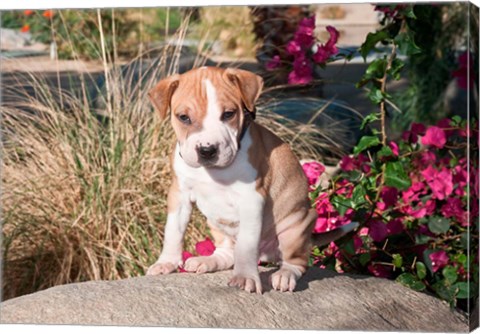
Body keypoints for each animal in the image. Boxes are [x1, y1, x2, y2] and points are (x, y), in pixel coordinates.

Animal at [146, 67, 318, 292]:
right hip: (216, 224)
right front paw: (166, 262)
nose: (207, 150)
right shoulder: (179, 194)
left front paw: (245, 277)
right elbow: (173, 230)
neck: (213, 171)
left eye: (228, 114)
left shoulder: (252, 199)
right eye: (183, 117)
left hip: (296, 226)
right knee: (227, 253)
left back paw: (285, 275)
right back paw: (207, 260)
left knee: (297, 262)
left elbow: (247, 244)